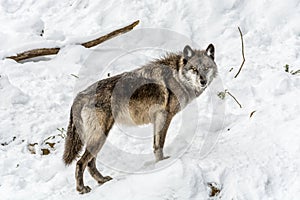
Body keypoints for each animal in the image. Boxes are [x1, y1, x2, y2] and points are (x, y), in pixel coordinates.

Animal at [63, 44, 218, 194]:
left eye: (206, 68)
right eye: (194, 69)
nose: (203, 81)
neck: (178, 76)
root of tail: (80, 95)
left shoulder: (158, 118)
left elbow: (156, 145)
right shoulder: (164, 116)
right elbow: (160, 144)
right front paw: (162, 163)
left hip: (100, 136)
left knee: (90, 162)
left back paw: (102, 180)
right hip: (100, 136)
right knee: (80, 163)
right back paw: (82, 189)